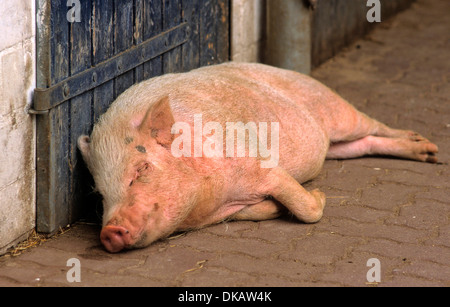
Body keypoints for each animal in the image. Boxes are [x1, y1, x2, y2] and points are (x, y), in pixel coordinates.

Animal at [78, 62, 440, 253]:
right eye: (100, 193)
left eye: (141, 168)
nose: (110, 231)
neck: (209, 200)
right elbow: (259, 210)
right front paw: (275, 208)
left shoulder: (264, 166)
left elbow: (305, 208)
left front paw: (320, 196)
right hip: (338, 144)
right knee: (364, 144)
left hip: (337, 109)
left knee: (375, 125)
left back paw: (429, 149)